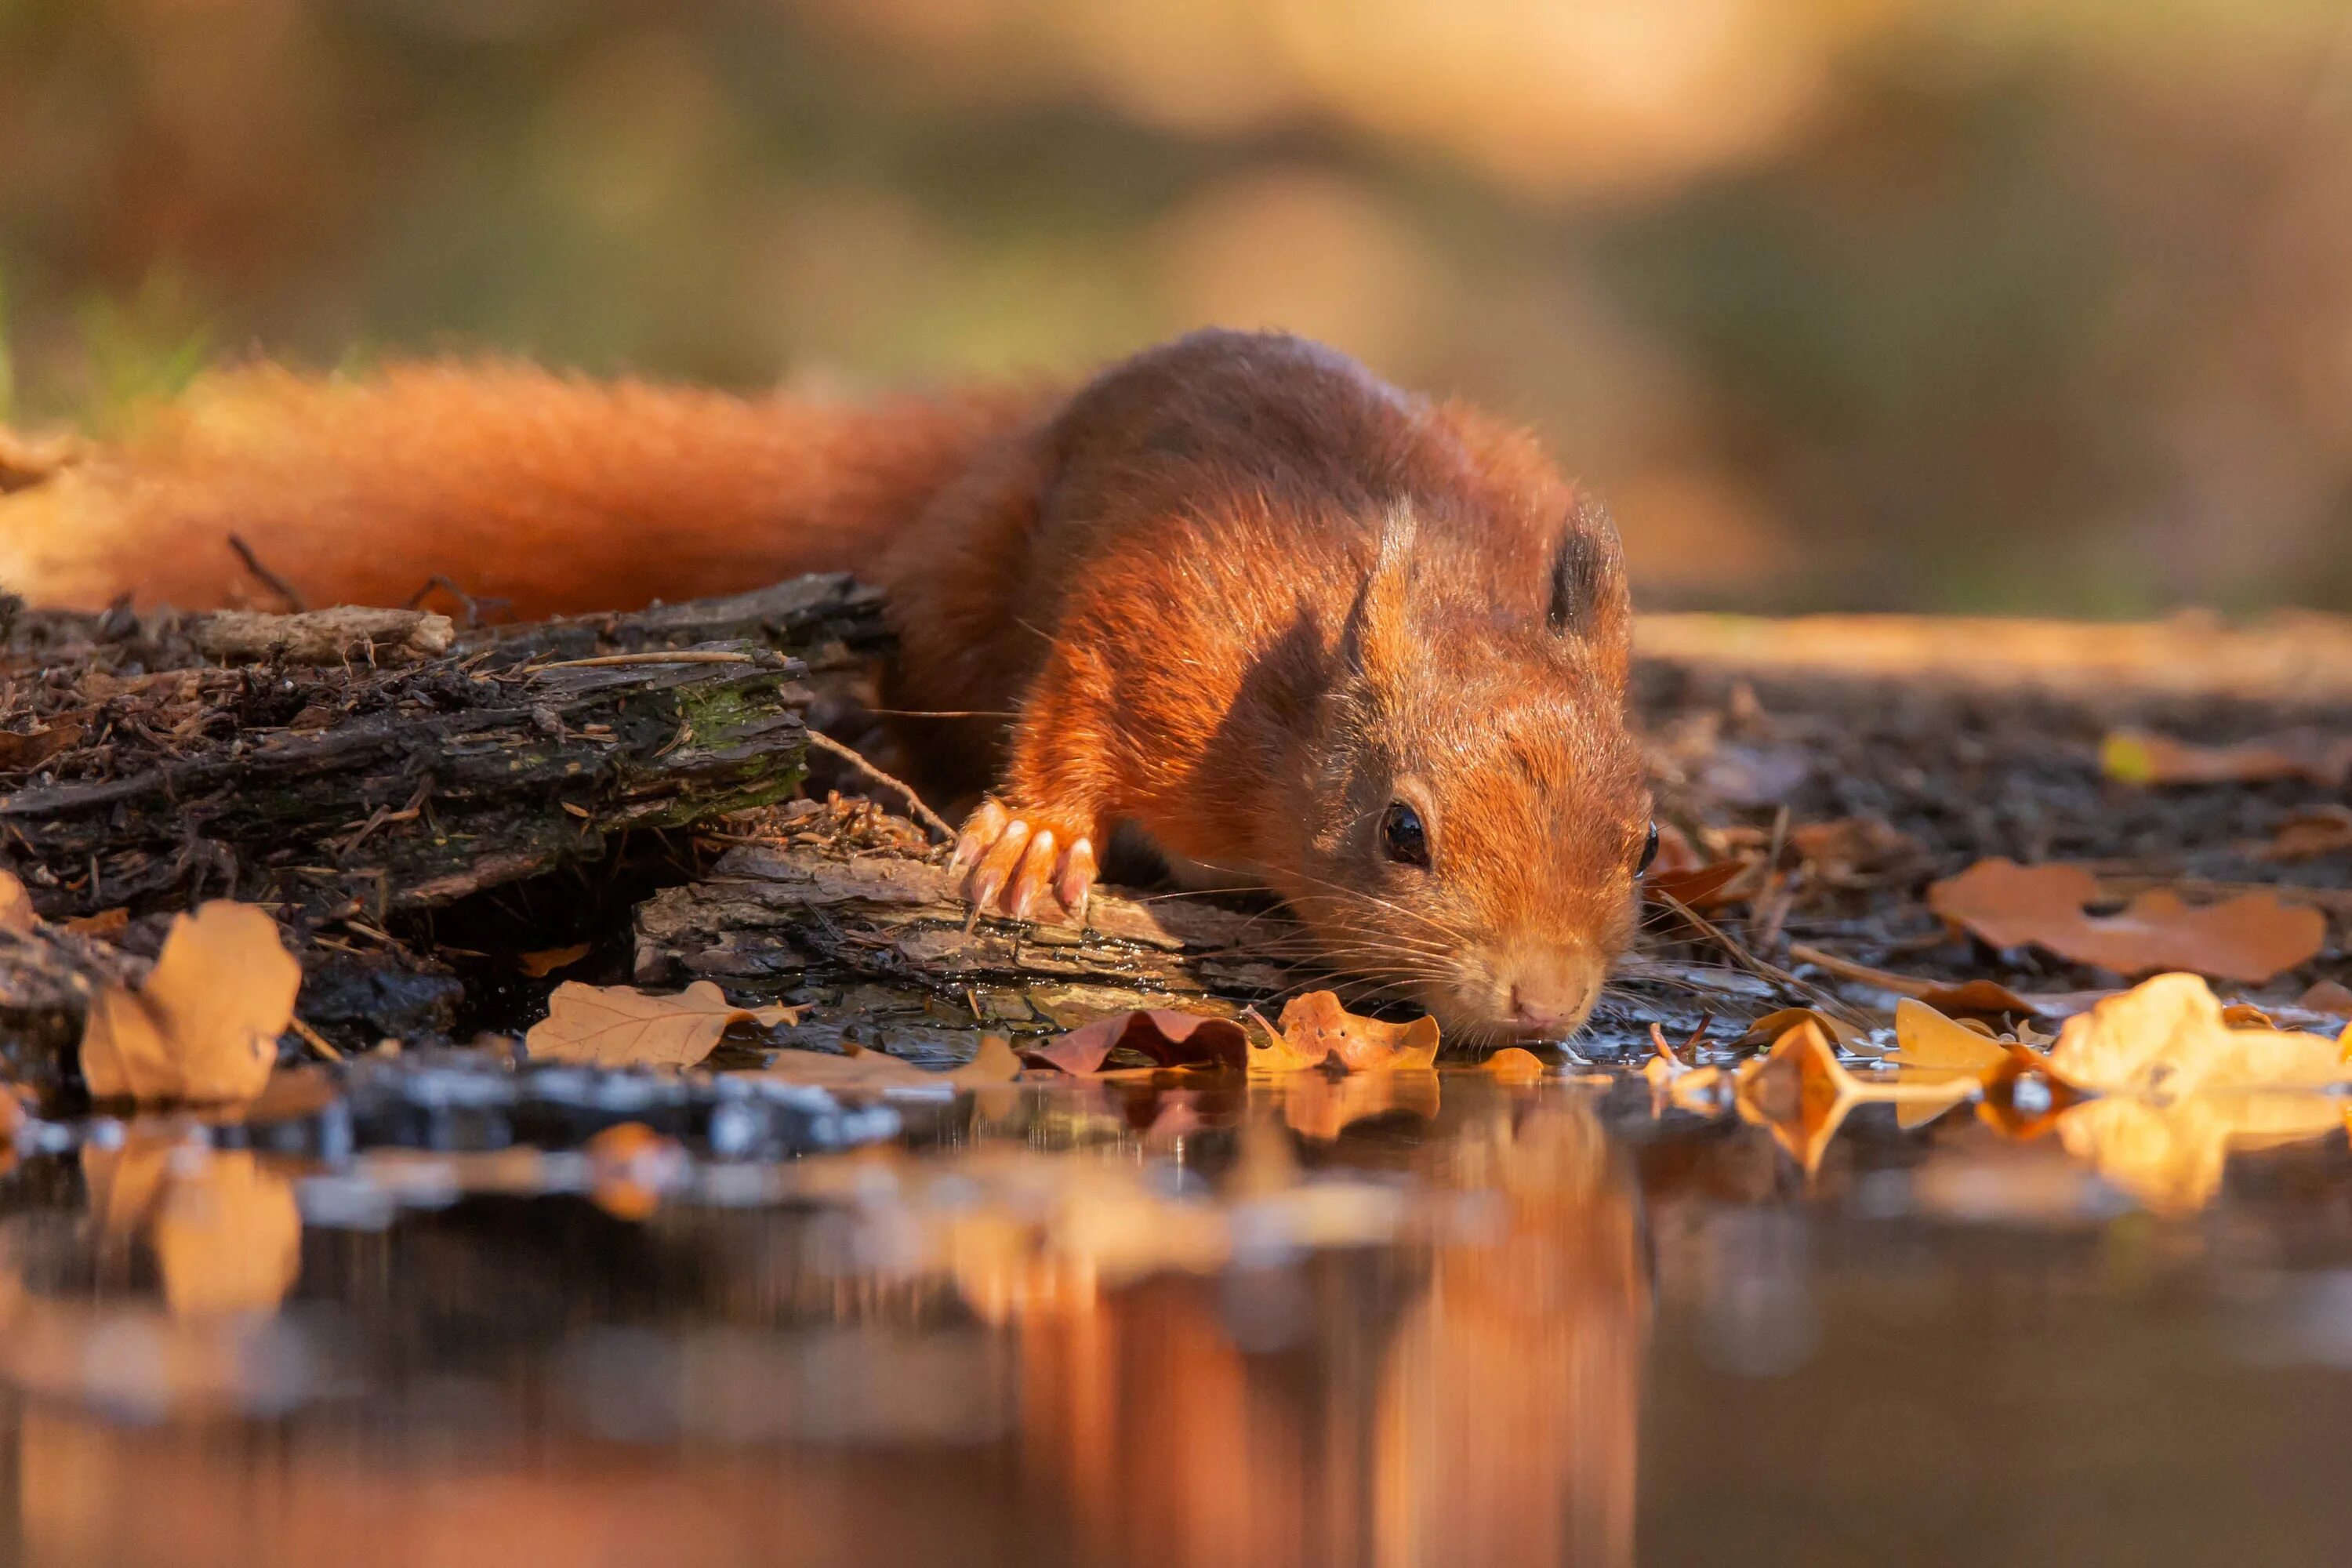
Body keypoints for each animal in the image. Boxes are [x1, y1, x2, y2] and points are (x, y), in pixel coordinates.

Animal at [0, 333, 1656, 1044]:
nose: (1548, 1004)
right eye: (1401, 833)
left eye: (1642, 842)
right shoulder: (1174, 614)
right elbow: (1080, 698)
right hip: (962, 584)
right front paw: (1035, 840)